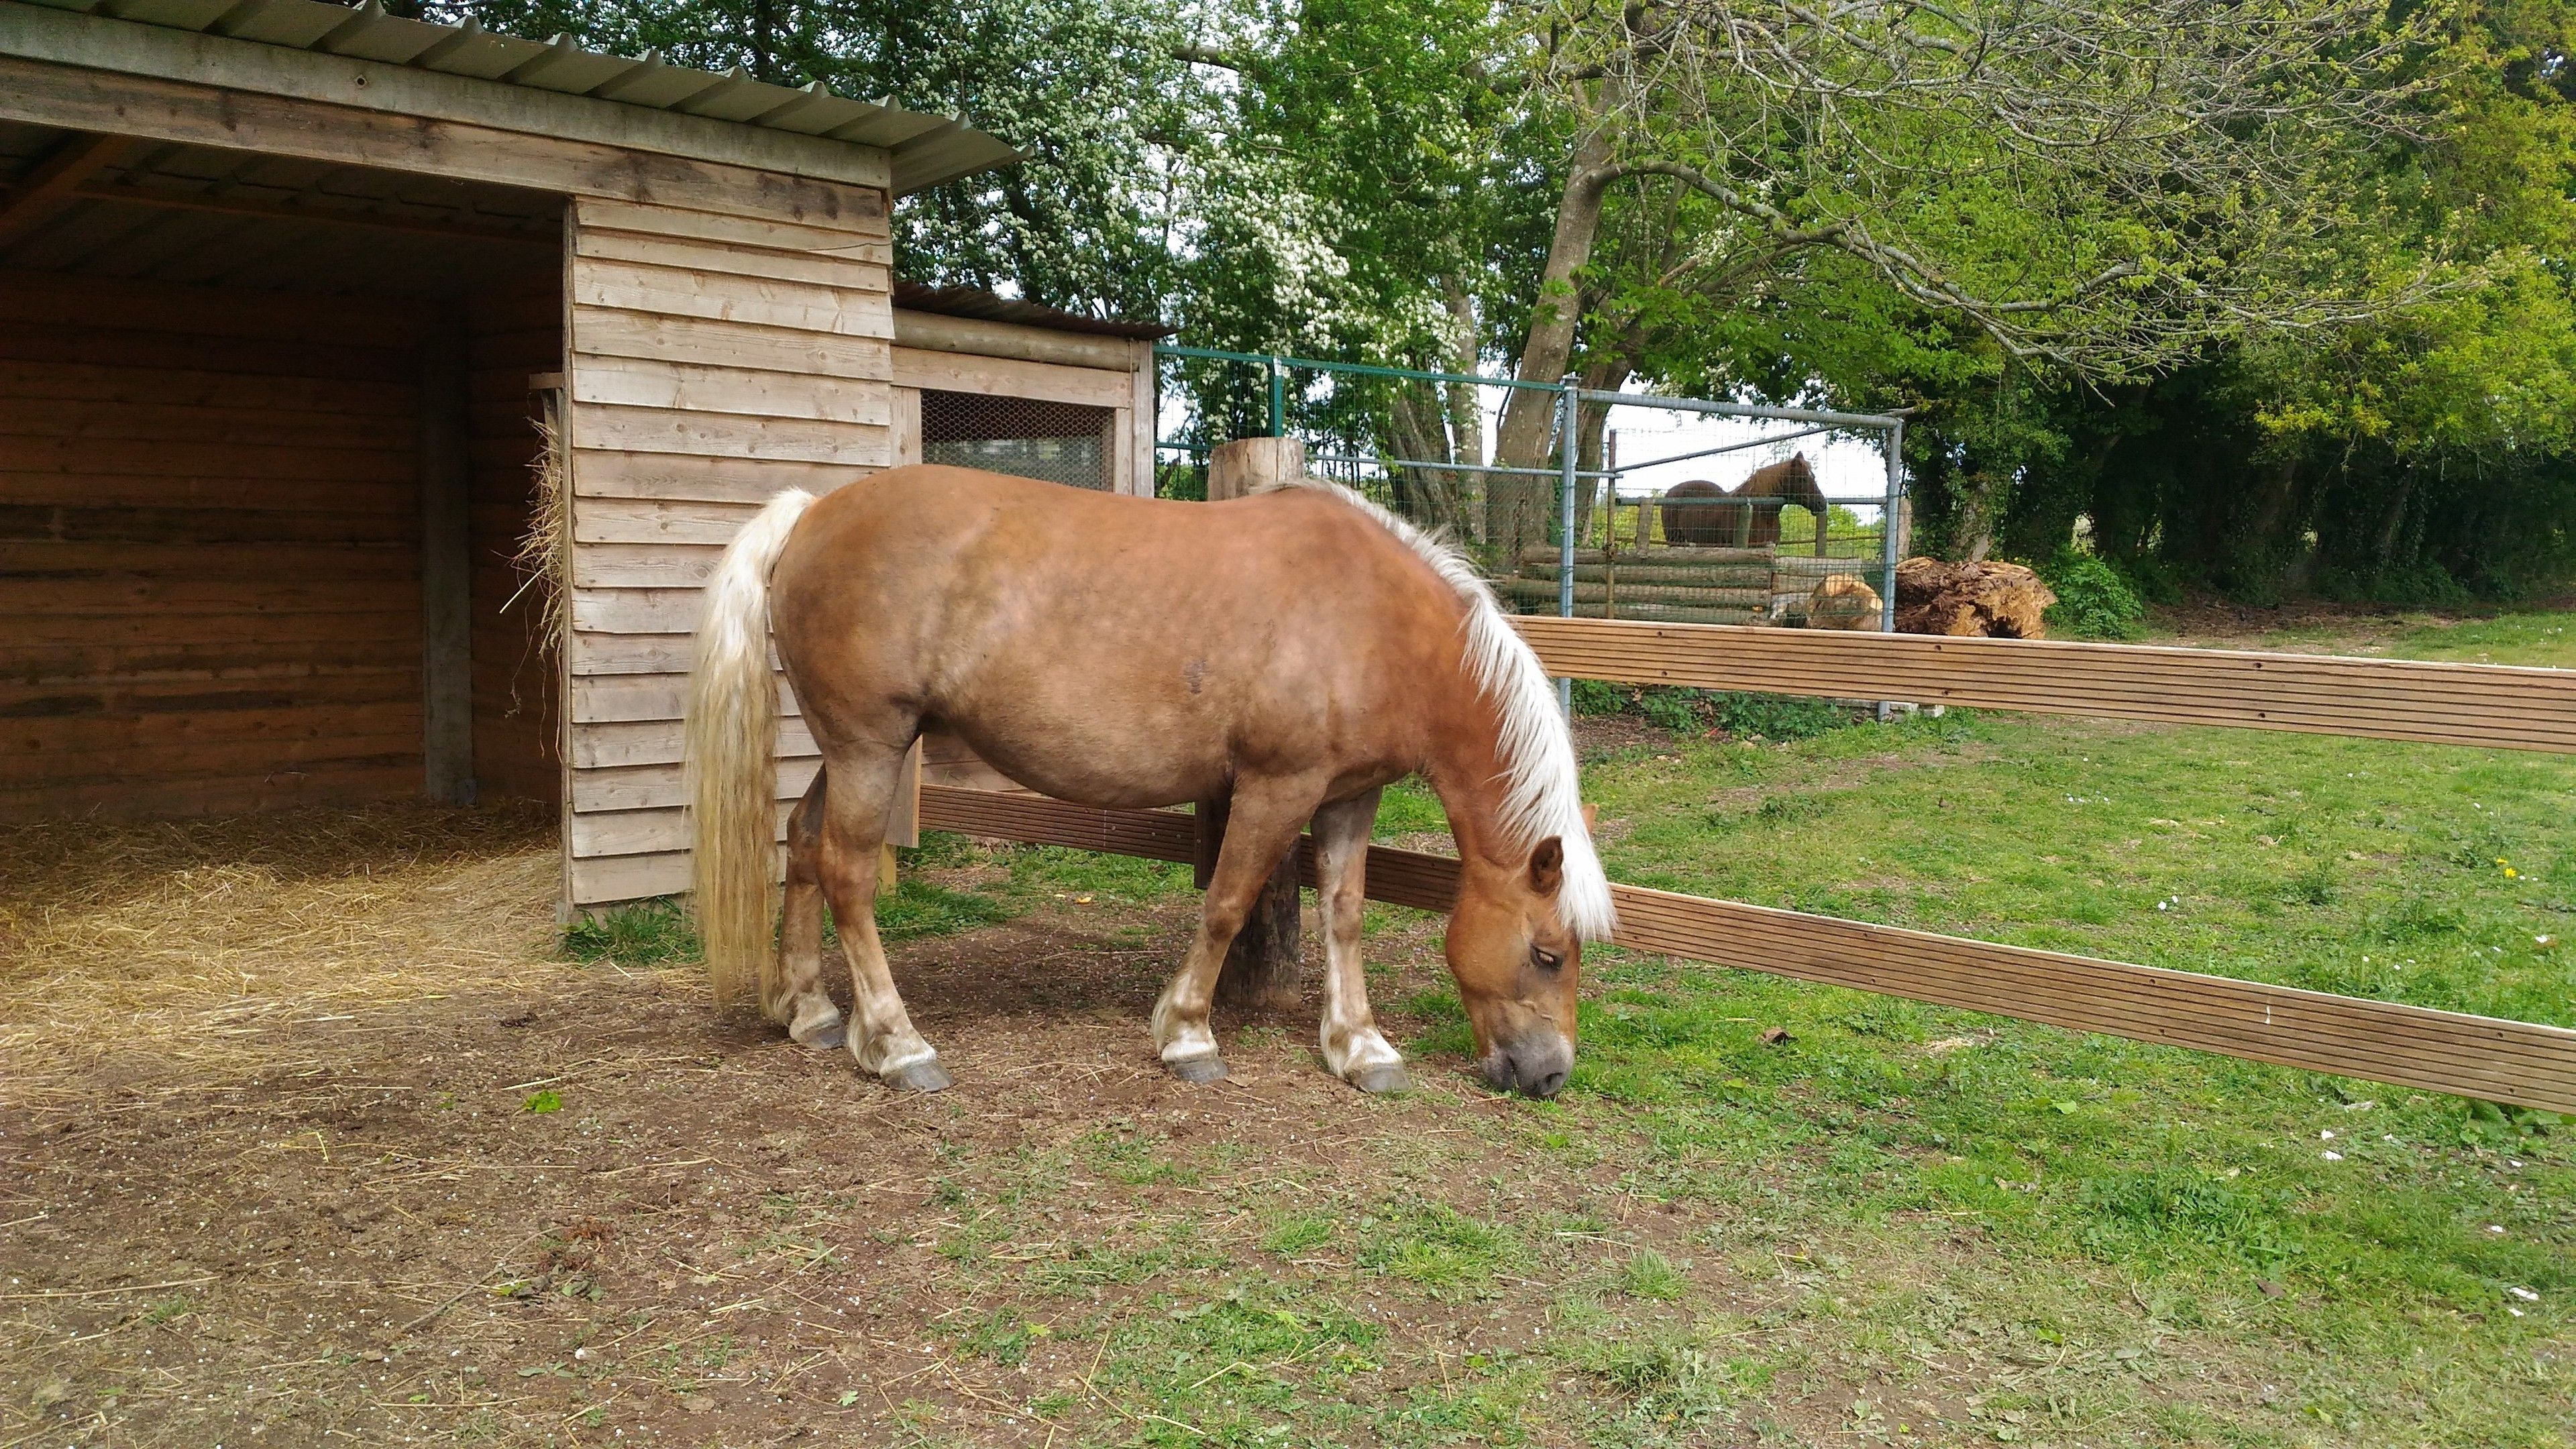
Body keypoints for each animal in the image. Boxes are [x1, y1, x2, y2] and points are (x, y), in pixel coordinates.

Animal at [685, 465, 1616, 1098]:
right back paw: (896, 1043)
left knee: (804, 846)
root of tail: (812, 513)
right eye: (1548, 953)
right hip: (871, 747)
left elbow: (1345, 914)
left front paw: (1359, 1046)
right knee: (846, 873)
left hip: (851, 752)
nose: (1551, 1076)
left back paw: (809, 1011)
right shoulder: (1279, 785)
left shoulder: (1352, 792)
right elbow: (1228, 903)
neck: (1378, 620)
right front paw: (1188, 1035)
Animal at [1659, 455, 1827, 553]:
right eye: (1803, 479)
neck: (1762, 513)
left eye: (1813, 476)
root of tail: (1669, 493)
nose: (1822, 503)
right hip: (1675, 540)